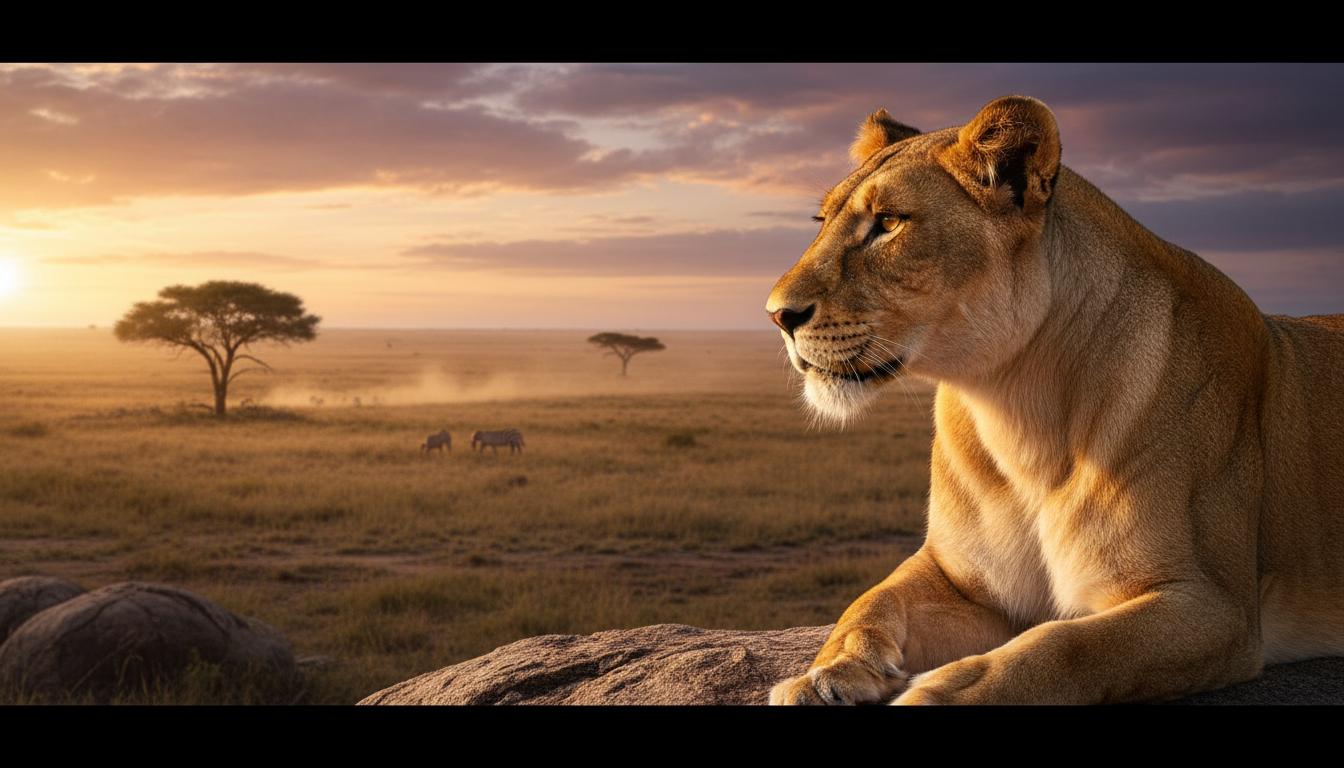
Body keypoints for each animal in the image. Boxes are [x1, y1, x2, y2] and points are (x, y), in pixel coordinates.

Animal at [764, 95, 1344, 705]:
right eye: (822, 222)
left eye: (889, 223)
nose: (777, 315)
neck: (1017, 409)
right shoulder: (963, 581)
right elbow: (871, 601)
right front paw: (825, 673)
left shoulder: (1214, 606)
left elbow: (1069, 648)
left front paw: (944, 690)